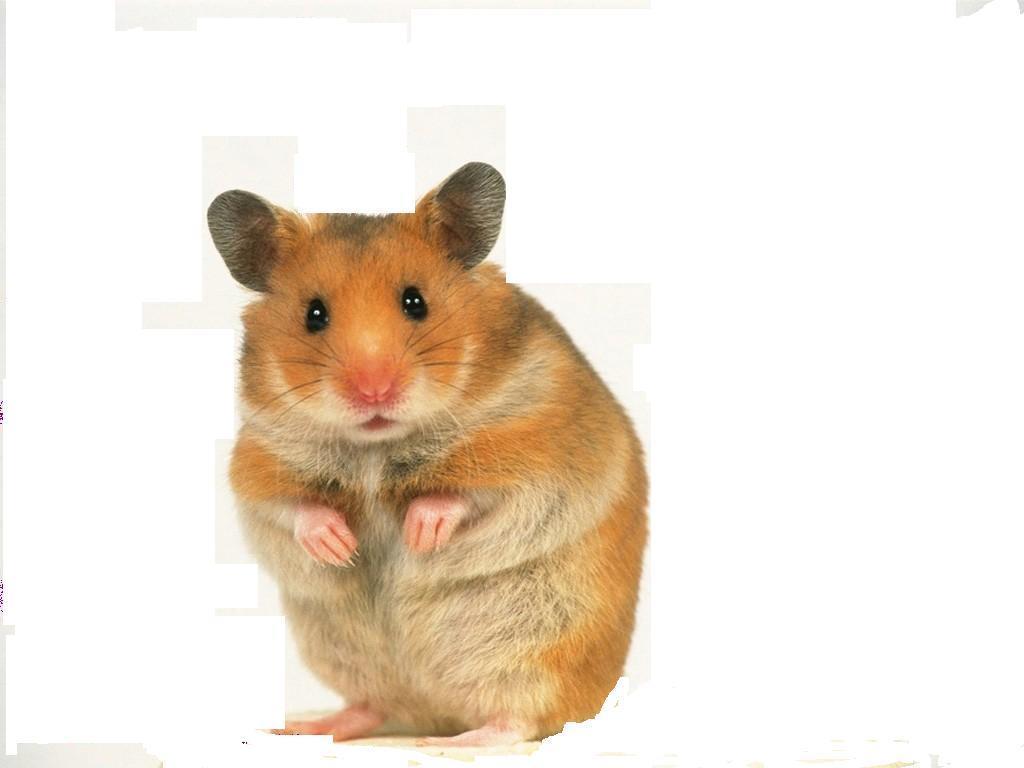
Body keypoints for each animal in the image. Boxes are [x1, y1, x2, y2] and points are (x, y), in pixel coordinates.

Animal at [207, 162, 648, 746]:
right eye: (314, 314)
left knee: (517, 721)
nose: (373, 391)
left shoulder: (536, 451)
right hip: (347, 654)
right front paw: (339, 547)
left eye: (415, 301)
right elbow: (293, 508)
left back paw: (446, 744)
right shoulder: (258, 461)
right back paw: (301, 727)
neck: (376, 447)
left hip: (540, 651)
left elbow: (465, 498)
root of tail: (433, 708)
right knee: (371, 705)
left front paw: (420, 536)